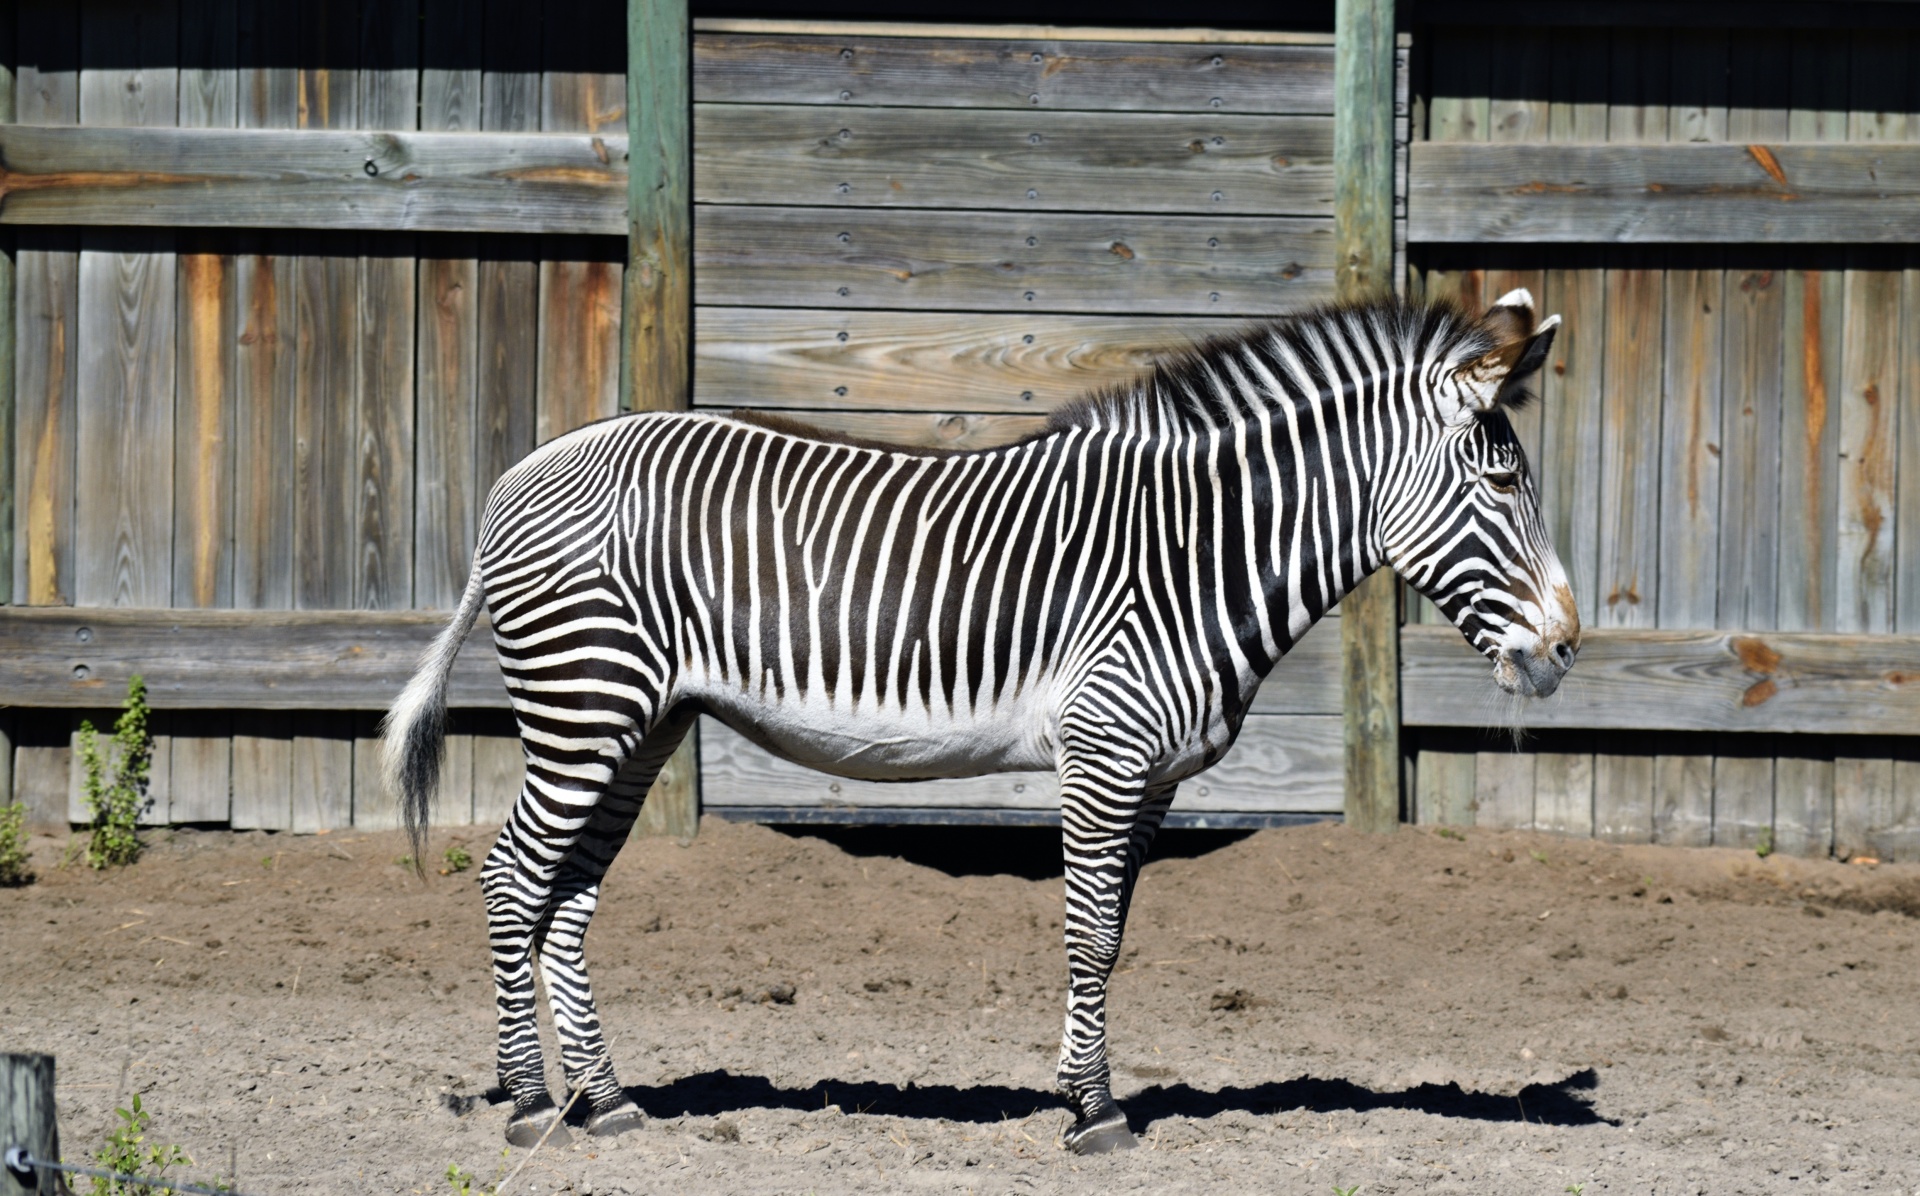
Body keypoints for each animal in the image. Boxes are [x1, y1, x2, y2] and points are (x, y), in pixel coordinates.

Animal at [385, 287, 1574, 1151]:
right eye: (1499, 484)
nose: (1566, 649)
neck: (1197, 556)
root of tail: (525, 469)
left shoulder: (1153, 777)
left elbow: (1114, 936)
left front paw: (1080, 1090)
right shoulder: (1105, 751)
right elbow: (1089, 934)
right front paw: (1093, 1115)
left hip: (641, 723)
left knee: (567, 900)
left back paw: (605, 1099)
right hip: (585, 704)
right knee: (511, 879)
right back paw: (529, 1101)